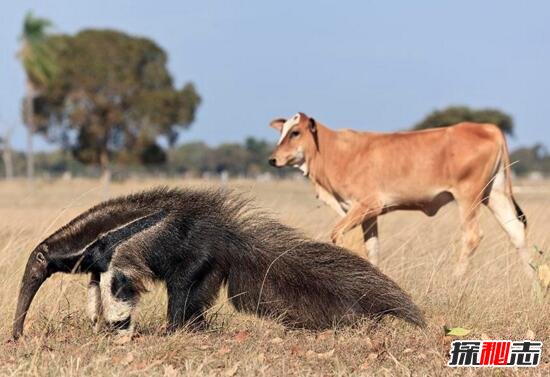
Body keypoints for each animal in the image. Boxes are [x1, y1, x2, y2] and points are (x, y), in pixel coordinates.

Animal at [270, 110, 536, 278]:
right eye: (281, 132)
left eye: (295, 132)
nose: (273, 159)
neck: (333, 150)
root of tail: (488, 127)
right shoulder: (369, 216)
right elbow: (372, 249)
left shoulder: (367, 205)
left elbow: (337, 234)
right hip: (495, 194)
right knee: (516, 232)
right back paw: (534, 287)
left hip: (469, 197)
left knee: (472, 236)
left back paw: (455, 280)